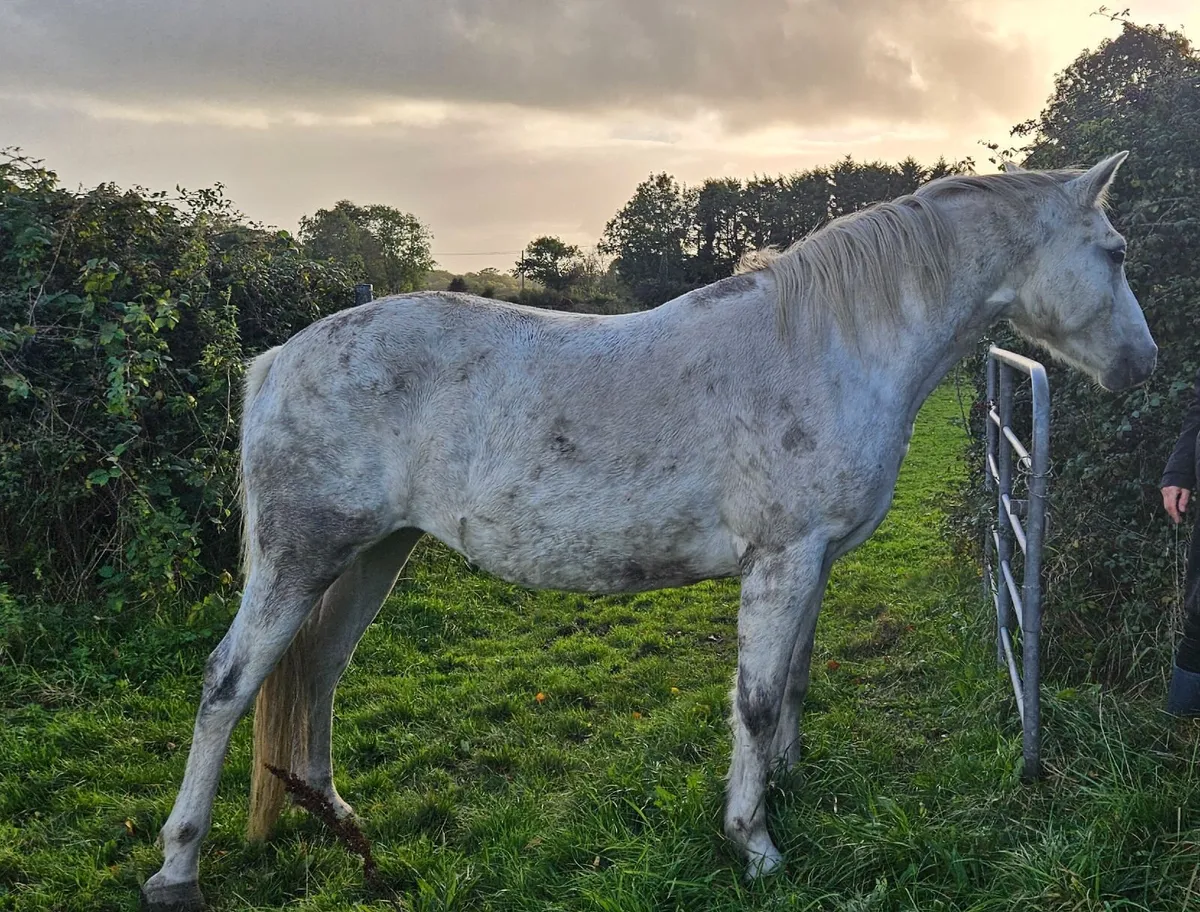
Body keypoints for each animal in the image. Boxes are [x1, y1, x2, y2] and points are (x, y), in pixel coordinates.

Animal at [140, 152, 1156, 911]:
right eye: (1113, 251)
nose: (1144, 364)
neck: (827, 346)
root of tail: (278, 357)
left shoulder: (813, 560)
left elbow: (791, 684)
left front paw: (784, 788)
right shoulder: (780, 559)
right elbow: (755, 699)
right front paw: (755, 844)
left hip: (373, 555)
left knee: (316, 670)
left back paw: (339, 821)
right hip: (300, 556)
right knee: (229, 684)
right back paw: (177, 866)